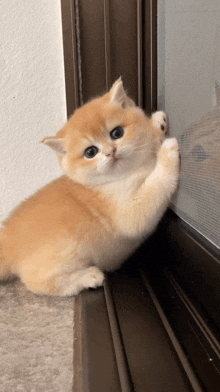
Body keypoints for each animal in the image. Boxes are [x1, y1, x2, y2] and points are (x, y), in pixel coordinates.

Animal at [0, 78, 179, 296]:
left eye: (117, 132)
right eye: (90, 152)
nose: (111, 152)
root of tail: (7, 241)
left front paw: (157, 123)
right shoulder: (129, 213)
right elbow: (156, 186)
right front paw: (168, 151)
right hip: (66, 252)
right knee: (38, 282)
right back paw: (87, 277)